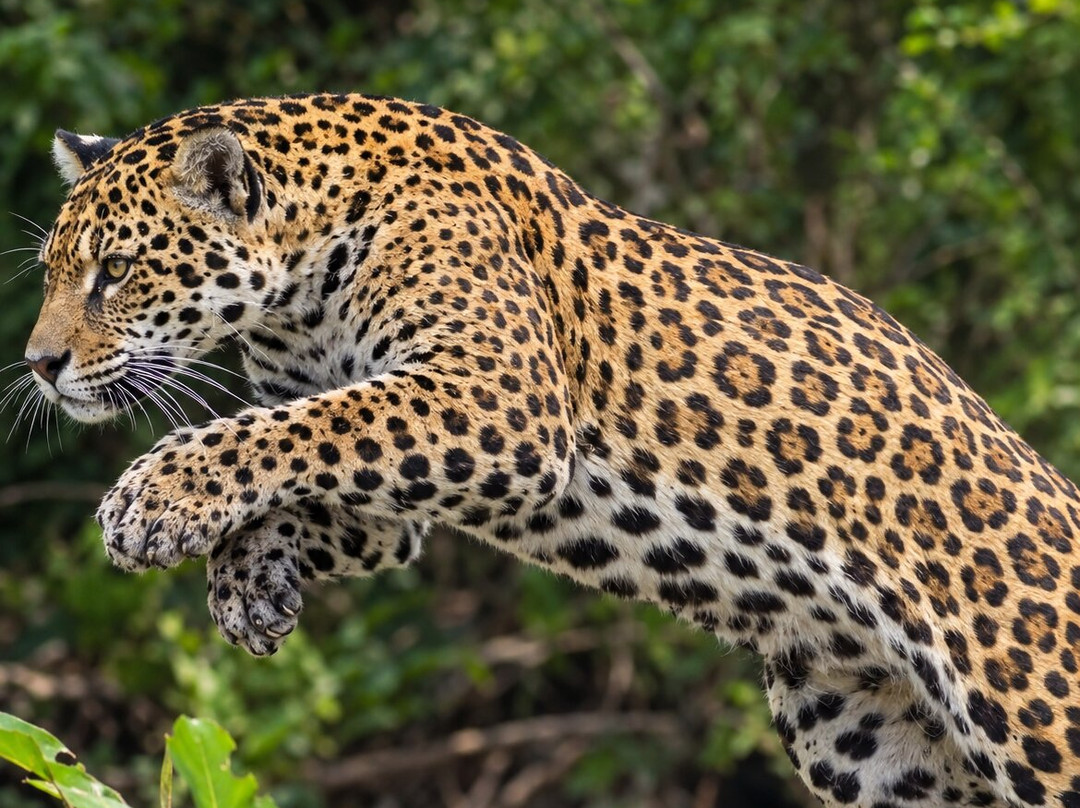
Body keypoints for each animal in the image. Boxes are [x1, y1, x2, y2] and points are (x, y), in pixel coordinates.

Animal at [19, 93, 1080, 807]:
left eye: (116, 271)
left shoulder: (495, 398)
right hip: (863, 742)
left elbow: (285, 430)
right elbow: (296, 452)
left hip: (1036, 711)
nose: (38, 365)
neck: (297, 288)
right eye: (53, 272)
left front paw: (154, 498)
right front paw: (248, 577)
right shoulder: (385, 485)